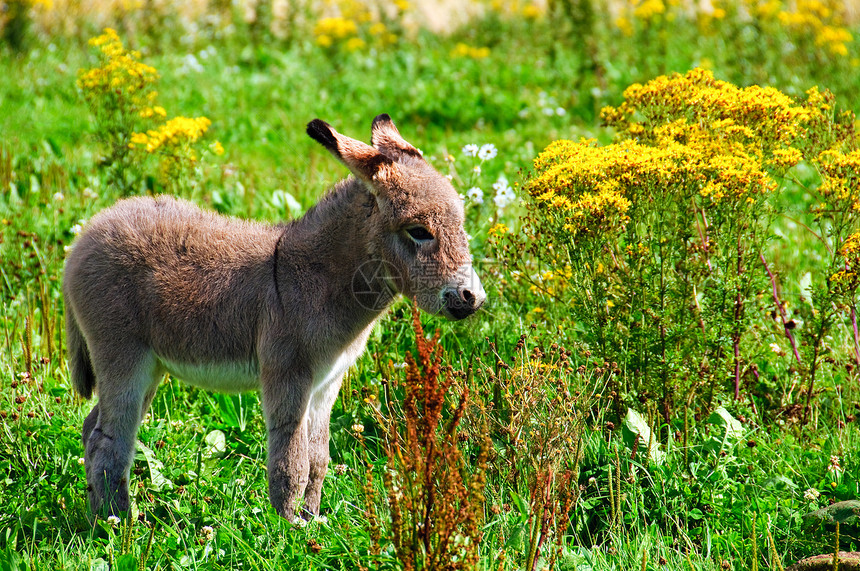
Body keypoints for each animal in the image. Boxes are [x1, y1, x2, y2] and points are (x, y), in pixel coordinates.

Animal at [65, 116, 484, 524]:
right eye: (419, 232)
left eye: (462, 225)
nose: (472, 298)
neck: (314, 275)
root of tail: (86, 236)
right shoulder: (287, 373)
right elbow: (291, 461)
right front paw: (287, 527)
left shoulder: (327, 383)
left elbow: (317, 459)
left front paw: (313, 521)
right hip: (122, 355)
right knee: (109, 440)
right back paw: (118, 525)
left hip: (150, 366)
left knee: (92, 428)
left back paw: (99, 516)